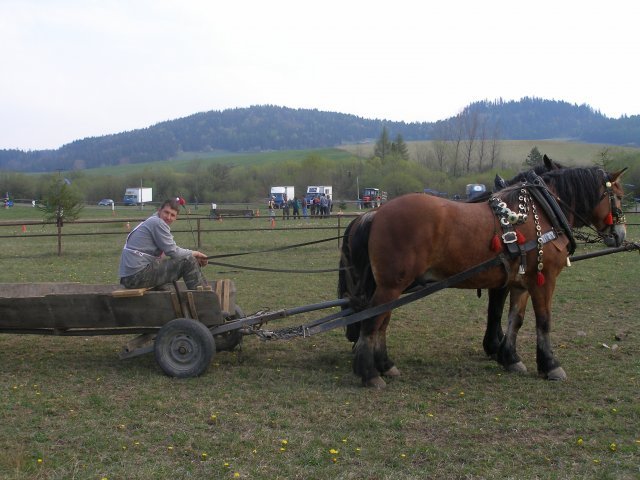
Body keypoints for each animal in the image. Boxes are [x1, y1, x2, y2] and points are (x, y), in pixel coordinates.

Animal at [340, 165, 624, 386]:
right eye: (618, 196)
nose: (620, 234)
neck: (543, 210)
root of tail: (377, 213)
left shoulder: (521, 282)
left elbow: (515, 320)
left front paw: (510, 358)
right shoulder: (544, 280)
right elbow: (543, 321)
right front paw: (550, 365)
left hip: (392, 285)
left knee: (381, 321)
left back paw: (385, 365)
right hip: (392, 285)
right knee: (374, 320)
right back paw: (369, 373)